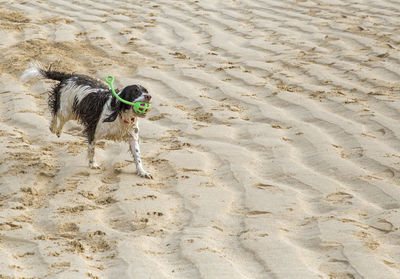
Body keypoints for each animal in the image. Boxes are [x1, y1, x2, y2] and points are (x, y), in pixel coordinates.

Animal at [21, 64, 154, 179]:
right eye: (135, 91)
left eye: (146, 91)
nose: (149, 96)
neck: (121, 114)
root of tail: (68, 76)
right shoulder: (93, 130)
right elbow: (92, 149)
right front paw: (92, 164)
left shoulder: (132, 136)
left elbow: (137, 155)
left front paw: (142, 172)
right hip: (67, 108)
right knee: (56, 112)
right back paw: (53, 127)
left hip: (72, 112)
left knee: (61, 119)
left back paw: (58, 131)